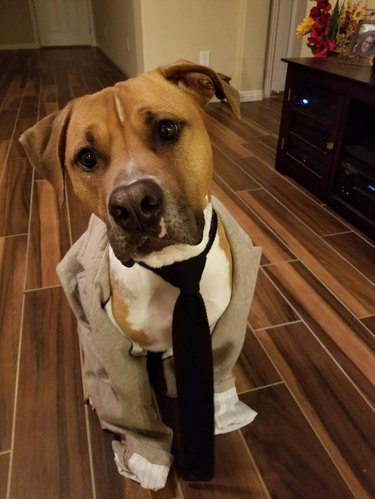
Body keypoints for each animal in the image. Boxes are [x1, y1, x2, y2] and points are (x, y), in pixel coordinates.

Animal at [19, 60, 262, 490]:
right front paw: (148, 460)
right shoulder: (117, 352)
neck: (174, 268)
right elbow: (133, 411)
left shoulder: (220, 332)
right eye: (86, 157)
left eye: (167, 129)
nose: (133, 204)